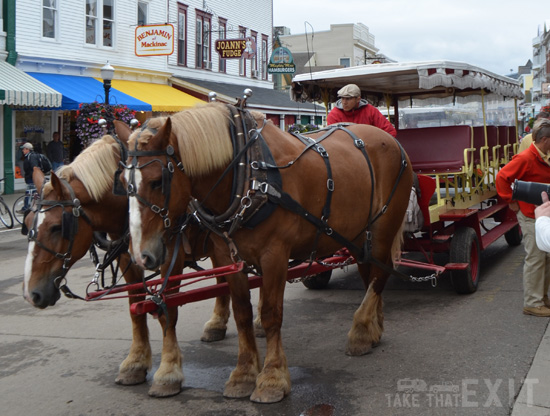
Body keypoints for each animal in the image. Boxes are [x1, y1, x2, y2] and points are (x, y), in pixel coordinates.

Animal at [21, 125, 233, 398]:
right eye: (26, 224)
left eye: (58, 227)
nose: (31, 294)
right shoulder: (128, 258)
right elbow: (135, 308)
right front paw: (135, 362)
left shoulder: (170, 257)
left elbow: (168, 309)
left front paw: (168, 372)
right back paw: (217, 324)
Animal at [124, 101, 414, 404]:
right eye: (122, 181)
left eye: (157, 181)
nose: (140, 255)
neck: (249, 174)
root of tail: (390, 139)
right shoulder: (228, 257)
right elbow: (242, 313)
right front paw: (243, 374)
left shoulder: (275, 254)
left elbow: (271, 314)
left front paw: (272, 378)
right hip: (358, 233)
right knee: (370, 273)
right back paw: (374, 326)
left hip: (383, 228)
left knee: (379, 276)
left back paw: (361, 331)